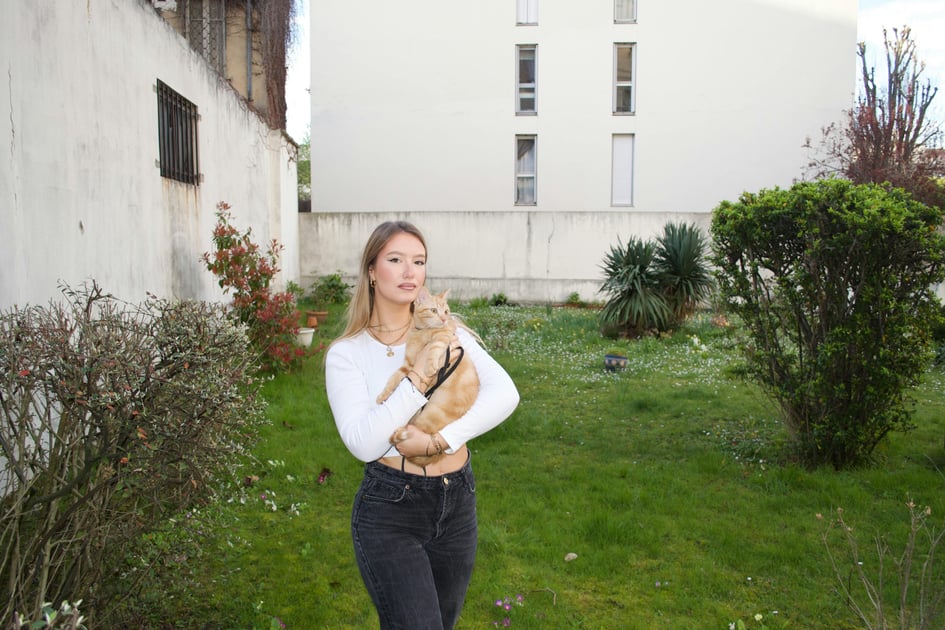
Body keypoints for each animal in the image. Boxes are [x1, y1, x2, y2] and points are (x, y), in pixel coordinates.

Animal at [376, 287, 479, 466]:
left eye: (446, 311)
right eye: (434, 310)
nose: (444, 318)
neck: (422, 331)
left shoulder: (444, 337)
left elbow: (435, 348)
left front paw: (430, 366)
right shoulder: (408, 366)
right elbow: (394, 378)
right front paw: (383, 395)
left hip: (429, 417)